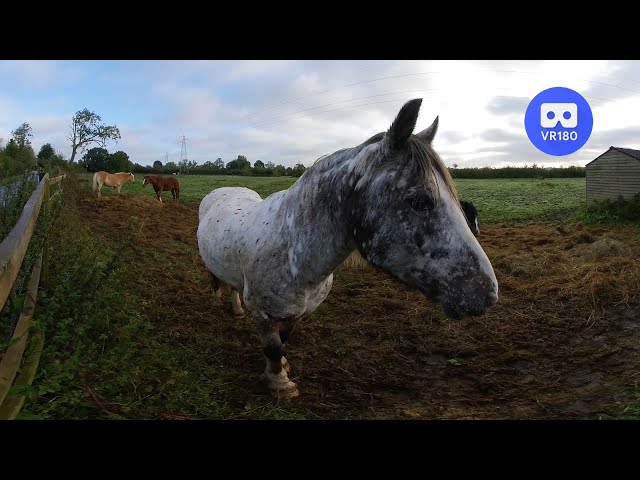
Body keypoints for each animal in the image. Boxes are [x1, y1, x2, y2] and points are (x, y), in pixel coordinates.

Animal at [198, 99, 498, 400]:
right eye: (420, 201)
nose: (485, 294)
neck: (293, 253)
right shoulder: (264, 314)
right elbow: (273, 348)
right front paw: (280, 384)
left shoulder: (299, 313)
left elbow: (283, 342)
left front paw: (282, 367)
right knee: (216, 280)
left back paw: (236, 309)